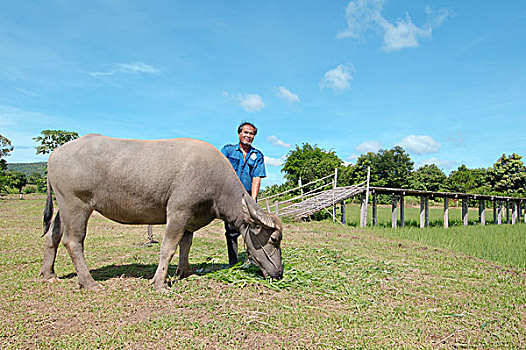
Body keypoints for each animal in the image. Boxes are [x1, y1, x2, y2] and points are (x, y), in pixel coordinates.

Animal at [40, 133, 284, 292]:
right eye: (273, 239)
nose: (280, 273)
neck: (215, 184)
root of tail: (54, 155)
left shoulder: (190, 218)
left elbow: (186, 245)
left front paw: (184, 272)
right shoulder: (178, 212)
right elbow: (169, 247)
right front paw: (160, 283)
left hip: (64, 206)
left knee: (53, 235)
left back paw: (48, 274)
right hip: (77, 205)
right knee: (73, 241)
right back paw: (89, 282)